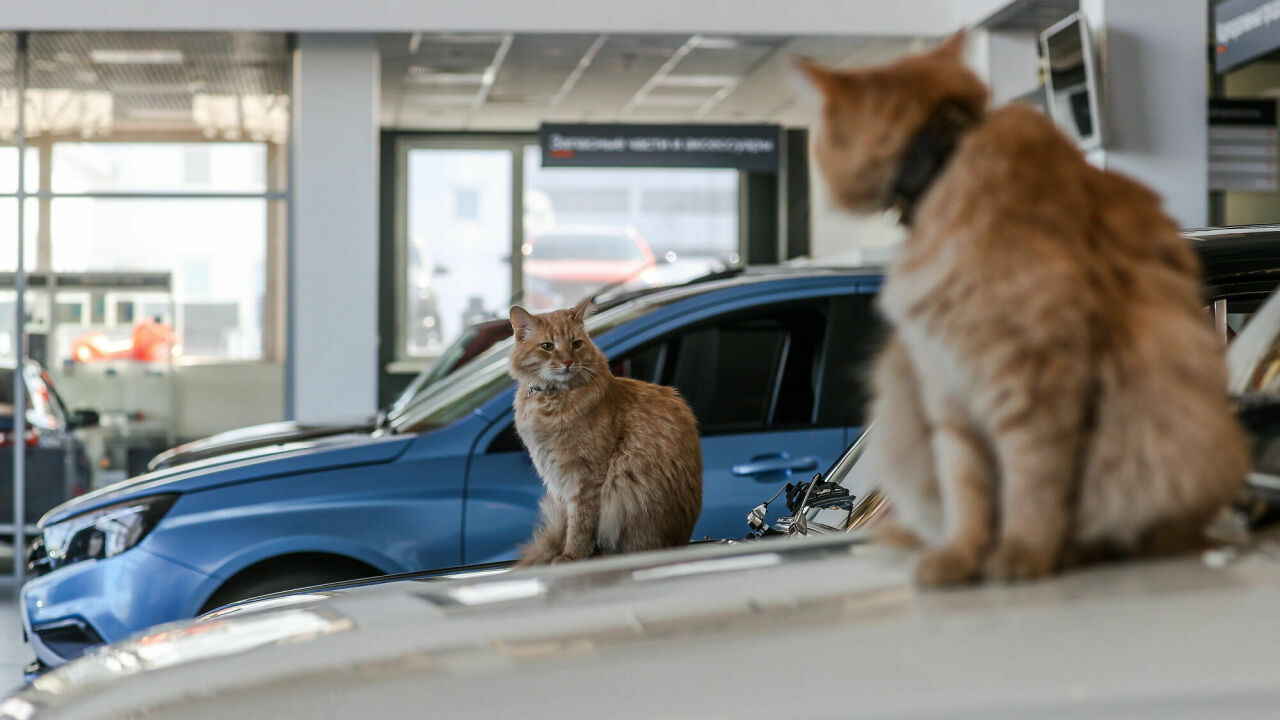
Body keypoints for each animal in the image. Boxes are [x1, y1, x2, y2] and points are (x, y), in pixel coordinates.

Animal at [504, 299, 701, 563]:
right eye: (547, 346)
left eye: (576, 344)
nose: (568, 362)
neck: (551, 400)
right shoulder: (556, 477)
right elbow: (566, 521)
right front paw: (560, 550)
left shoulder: (586, 473)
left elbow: (580, 521)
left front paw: (571, 555)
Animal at [798, 32, 1249, 584]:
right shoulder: (946, 384)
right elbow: (967, 485)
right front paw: (961, 554)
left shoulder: (1036, 372)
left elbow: (1033, 479)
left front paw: (1021, 553)